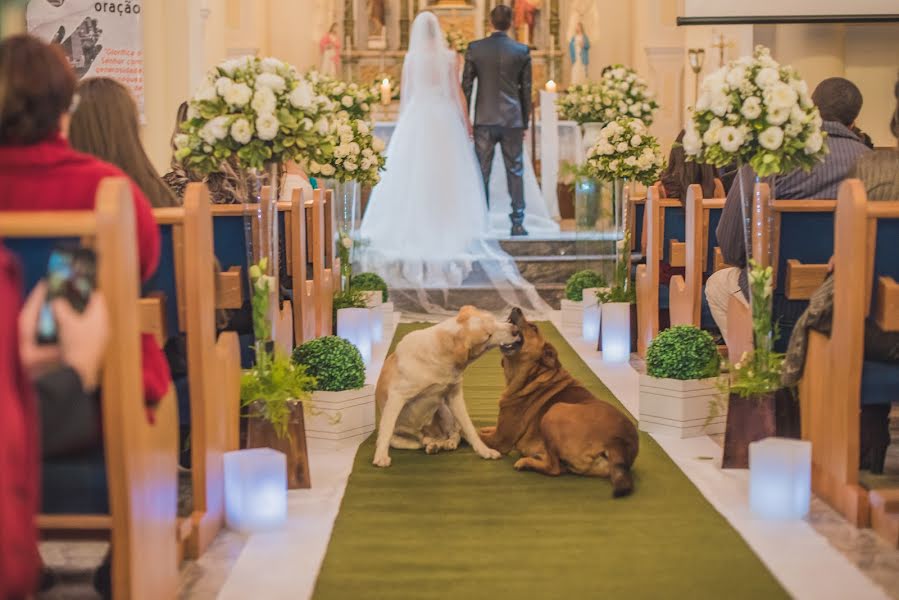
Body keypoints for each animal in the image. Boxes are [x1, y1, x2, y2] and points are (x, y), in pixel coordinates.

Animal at [374, 304, 528, 468]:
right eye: (488, 336)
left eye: (493, 319)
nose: (516, 330)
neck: (441, 353)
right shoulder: (396, 397)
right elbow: (386, 431)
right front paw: (381, 457)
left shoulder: (455, 396)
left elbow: (469, 428)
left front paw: (484, 451)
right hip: (400, 436)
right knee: (415, 441)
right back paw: (431, 443)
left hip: (444, 409)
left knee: (455, 433)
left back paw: (446, 443)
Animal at [478, 310, 640, 496]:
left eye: (534, 327)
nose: (516, 309)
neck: (532, 375)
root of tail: (618, 441)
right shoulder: (499, 429)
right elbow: (484, 429)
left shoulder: (501, 439)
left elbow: (477, 435)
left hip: (554, 411)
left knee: (554, 468)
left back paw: (526, 462)